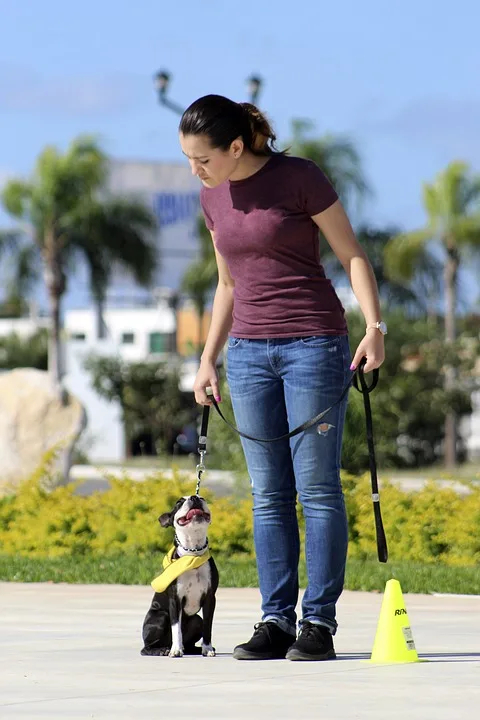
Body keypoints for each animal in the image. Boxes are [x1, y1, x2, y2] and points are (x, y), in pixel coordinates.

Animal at [141, 496, 219, 660]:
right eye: (179, 502)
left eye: (202, 498)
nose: (195, 497)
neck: (193, 554)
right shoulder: (175, 599)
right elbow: (176, 628)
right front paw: (175, 650)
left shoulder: (210, 598)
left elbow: (208, 626)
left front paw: (207, 648)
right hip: (161, 617)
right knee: (146, 647)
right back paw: (162, 650)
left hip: (196, 620)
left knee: (190, 642)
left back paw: (195, 649)